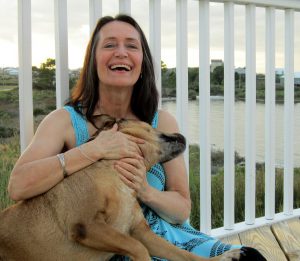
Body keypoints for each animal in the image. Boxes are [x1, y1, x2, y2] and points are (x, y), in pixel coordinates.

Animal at [0, 114, 264, 260]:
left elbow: (184, 254)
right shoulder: (86, 225)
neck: (114, 173)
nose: (180, 133)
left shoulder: (140, 231)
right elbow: (138, 249)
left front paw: (224, 257)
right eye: (149, 124)